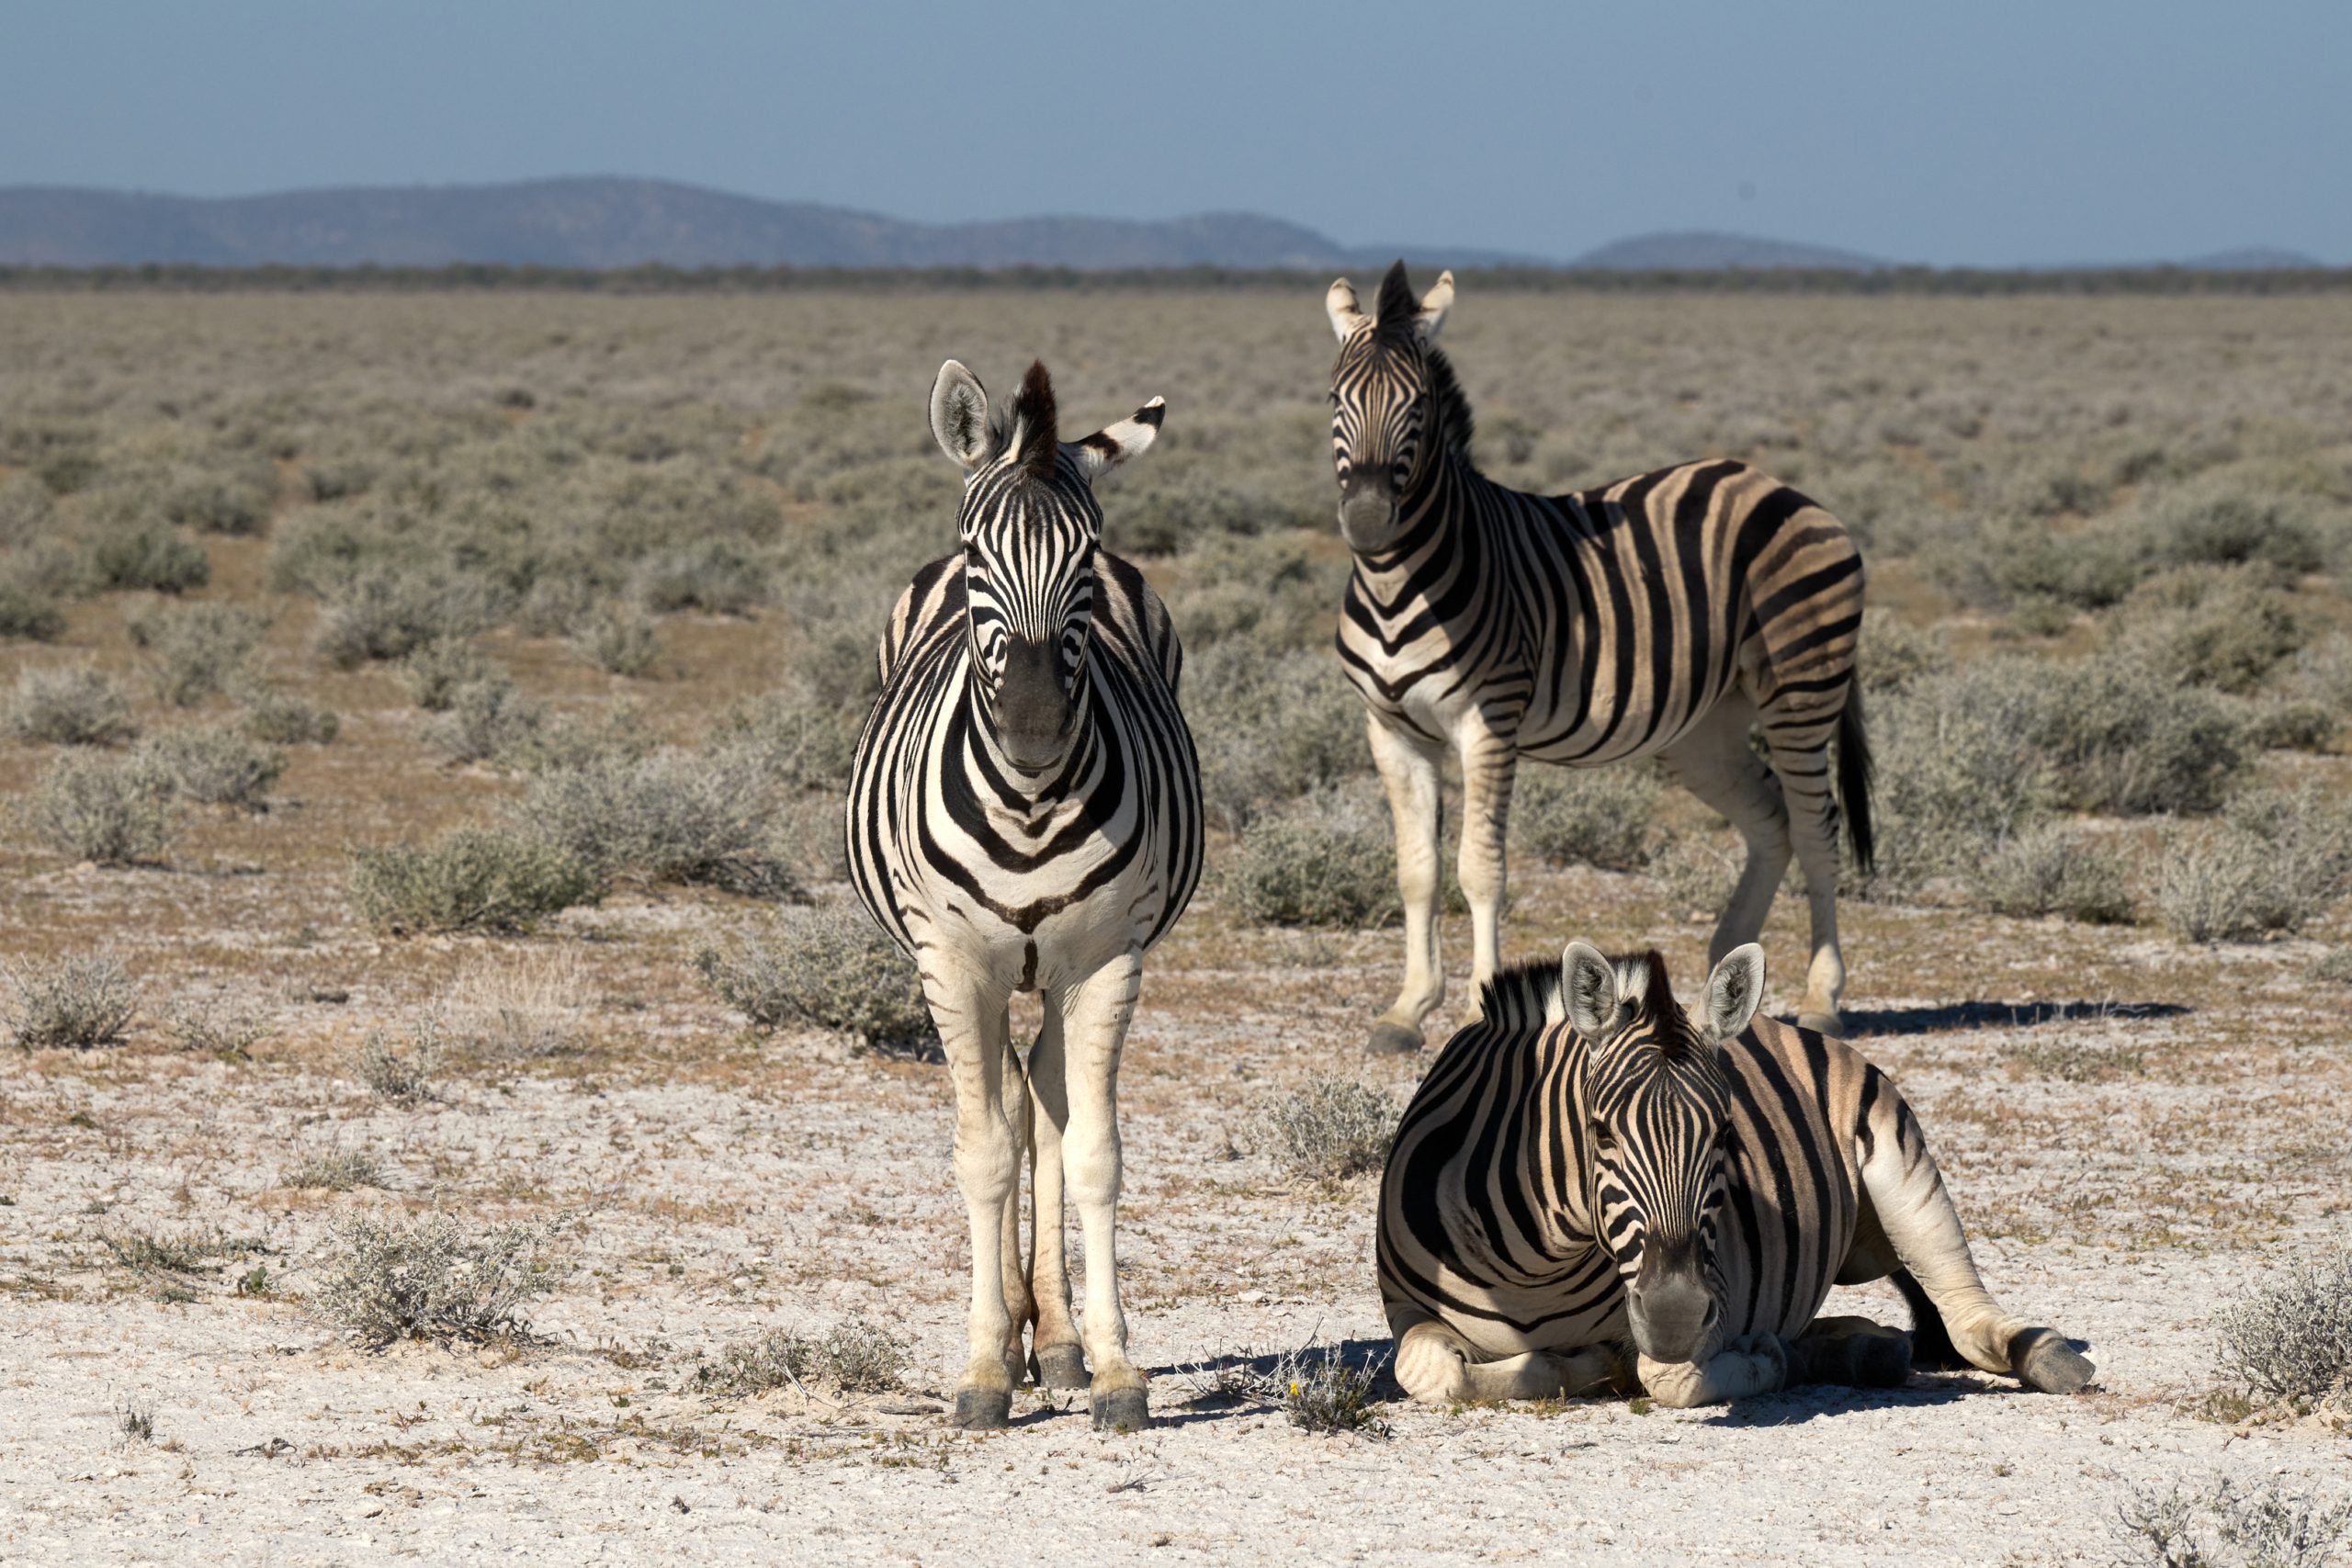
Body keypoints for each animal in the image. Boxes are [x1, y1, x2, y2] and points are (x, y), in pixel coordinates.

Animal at [846, 359, 1204, 1438]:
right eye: (977, 552)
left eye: (1084, 557)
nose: (1037, 724)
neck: (1034, 801)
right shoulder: (952, 961)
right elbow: (983, 1156)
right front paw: (980, 1367)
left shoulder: (1109, 959)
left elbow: (1090, 1154)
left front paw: (1115, 1365)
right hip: (989, 970)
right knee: (1009, 1105)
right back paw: (1015, 1335)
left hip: (1055, 973)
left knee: (1044, 1104)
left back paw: (1056, 1338)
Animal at [1326, 263, 1871, 1053]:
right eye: (1335, 398)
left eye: (1418, 405)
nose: (1369, 521)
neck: (1399, 580)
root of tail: (1782, 488)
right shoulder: (1390, 728)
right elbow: (1417, 871)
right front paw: (1406, 1009)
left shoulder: (1489, 720)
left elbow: (1479, 868)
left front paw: (1478, 1011)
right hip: (1704, 729)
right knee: (1771, 820)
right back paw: (1726, 971)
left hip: (1803, 686)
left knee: (1815, 828)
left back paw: (1823, 996)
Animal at [1374, 944, 2098, 1410]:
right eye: (1600, 1133)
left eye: (1725, 1136)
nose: (1674, 1317)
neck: (1535, 1267)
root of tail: (1786, 1022)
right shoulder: (1408, 1311)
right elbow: (1430, 1371)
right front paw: (1571, 1364)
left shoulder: (1713, 1299)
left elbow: (1665, 1375)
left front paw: (1754, 1361)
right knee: (1888, 1334)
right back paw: (1859, 1349)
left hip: (1905, 1174)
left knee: (1966, 1313)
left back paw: (2051, 1358)